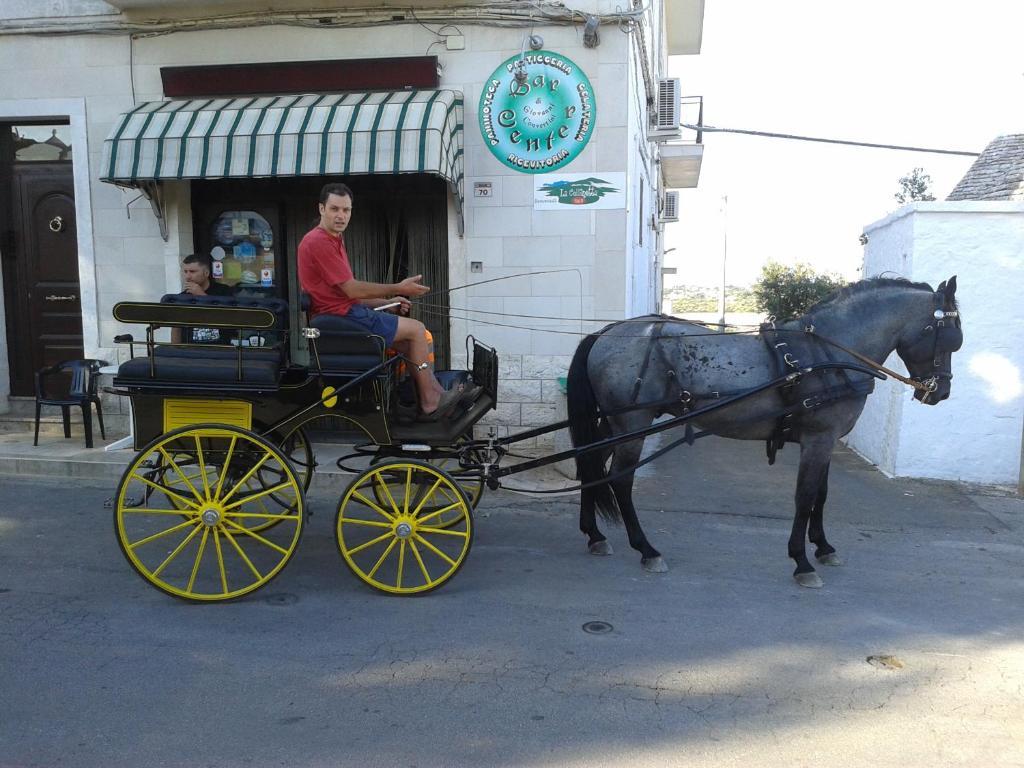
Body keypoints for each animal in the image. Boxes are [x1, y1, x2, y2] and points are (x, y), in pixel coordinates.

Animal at [569, 276, 958, 589]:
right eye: (950, 338)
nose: (939, 392)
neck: (828, 355)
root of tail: (606, 332)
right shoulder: (817, 439)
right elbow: (805, 497)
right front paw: (801, 562)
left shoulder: (826, 440)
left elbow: (821, 495)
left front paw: (823, 547)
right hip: (632, 424)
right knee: (620, 481)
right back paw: (646, 549)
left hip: (614, 425)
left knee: (590, 463)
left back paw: (594, 535)